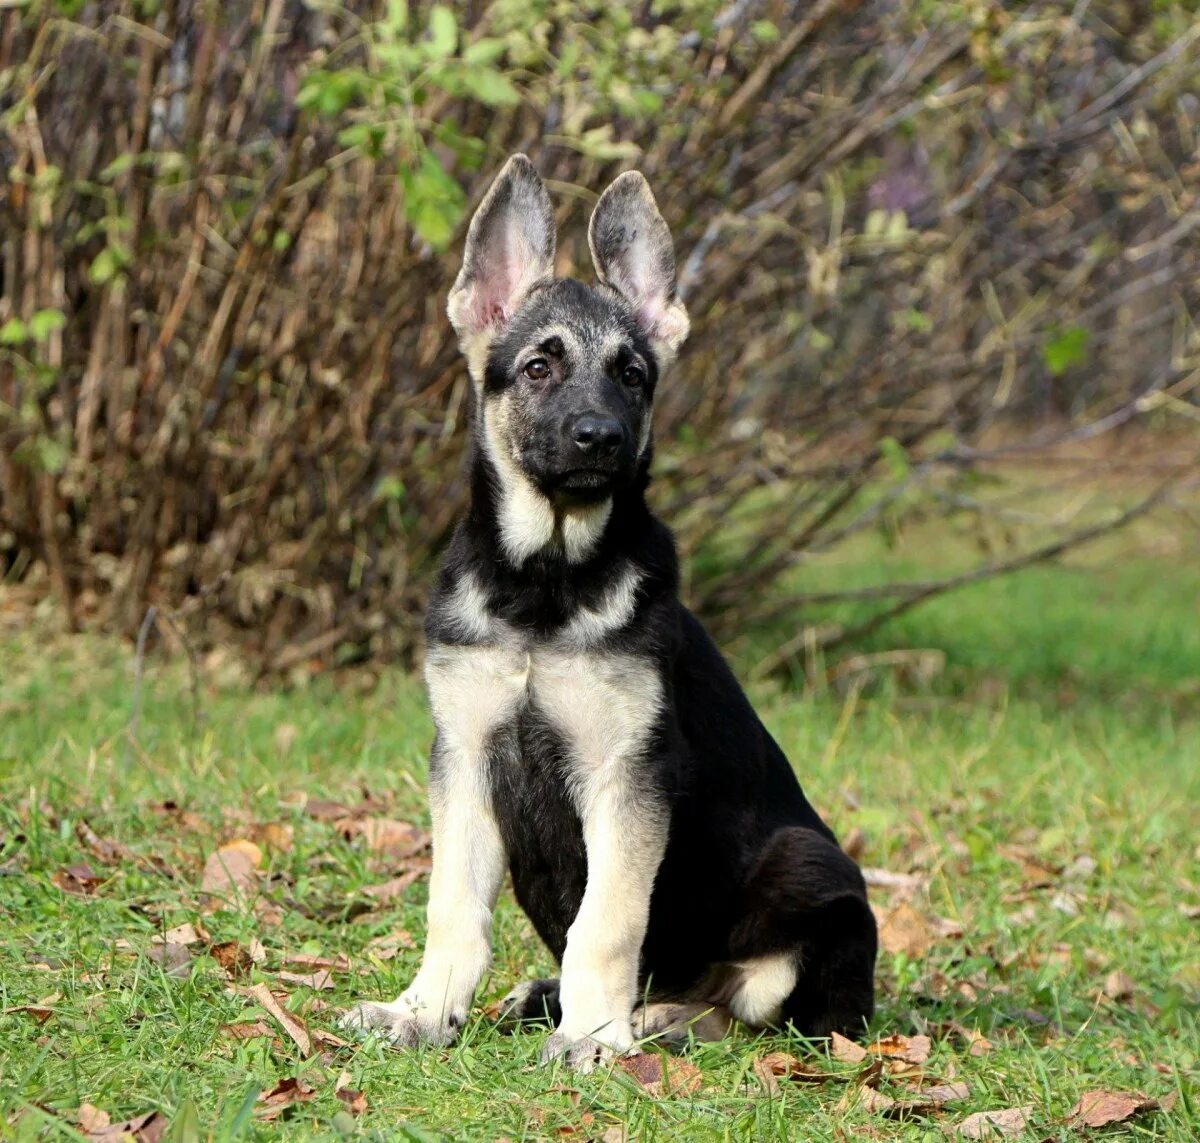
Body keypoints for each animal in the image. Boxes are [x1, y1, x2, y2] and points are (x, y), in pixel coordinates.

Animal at [343, 156, 878, 1066]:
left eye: (632, 374)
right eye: (538, 367)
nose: (601, 438)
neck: (546, 586)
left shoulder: (626, 775)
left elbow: (609, 920)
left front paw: (594, 1032)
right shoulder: (465, 757)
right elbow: (453, 905)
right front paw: (423, 1010)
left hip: (809, 866)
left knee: (754, 1005)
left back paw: (659, 1019)